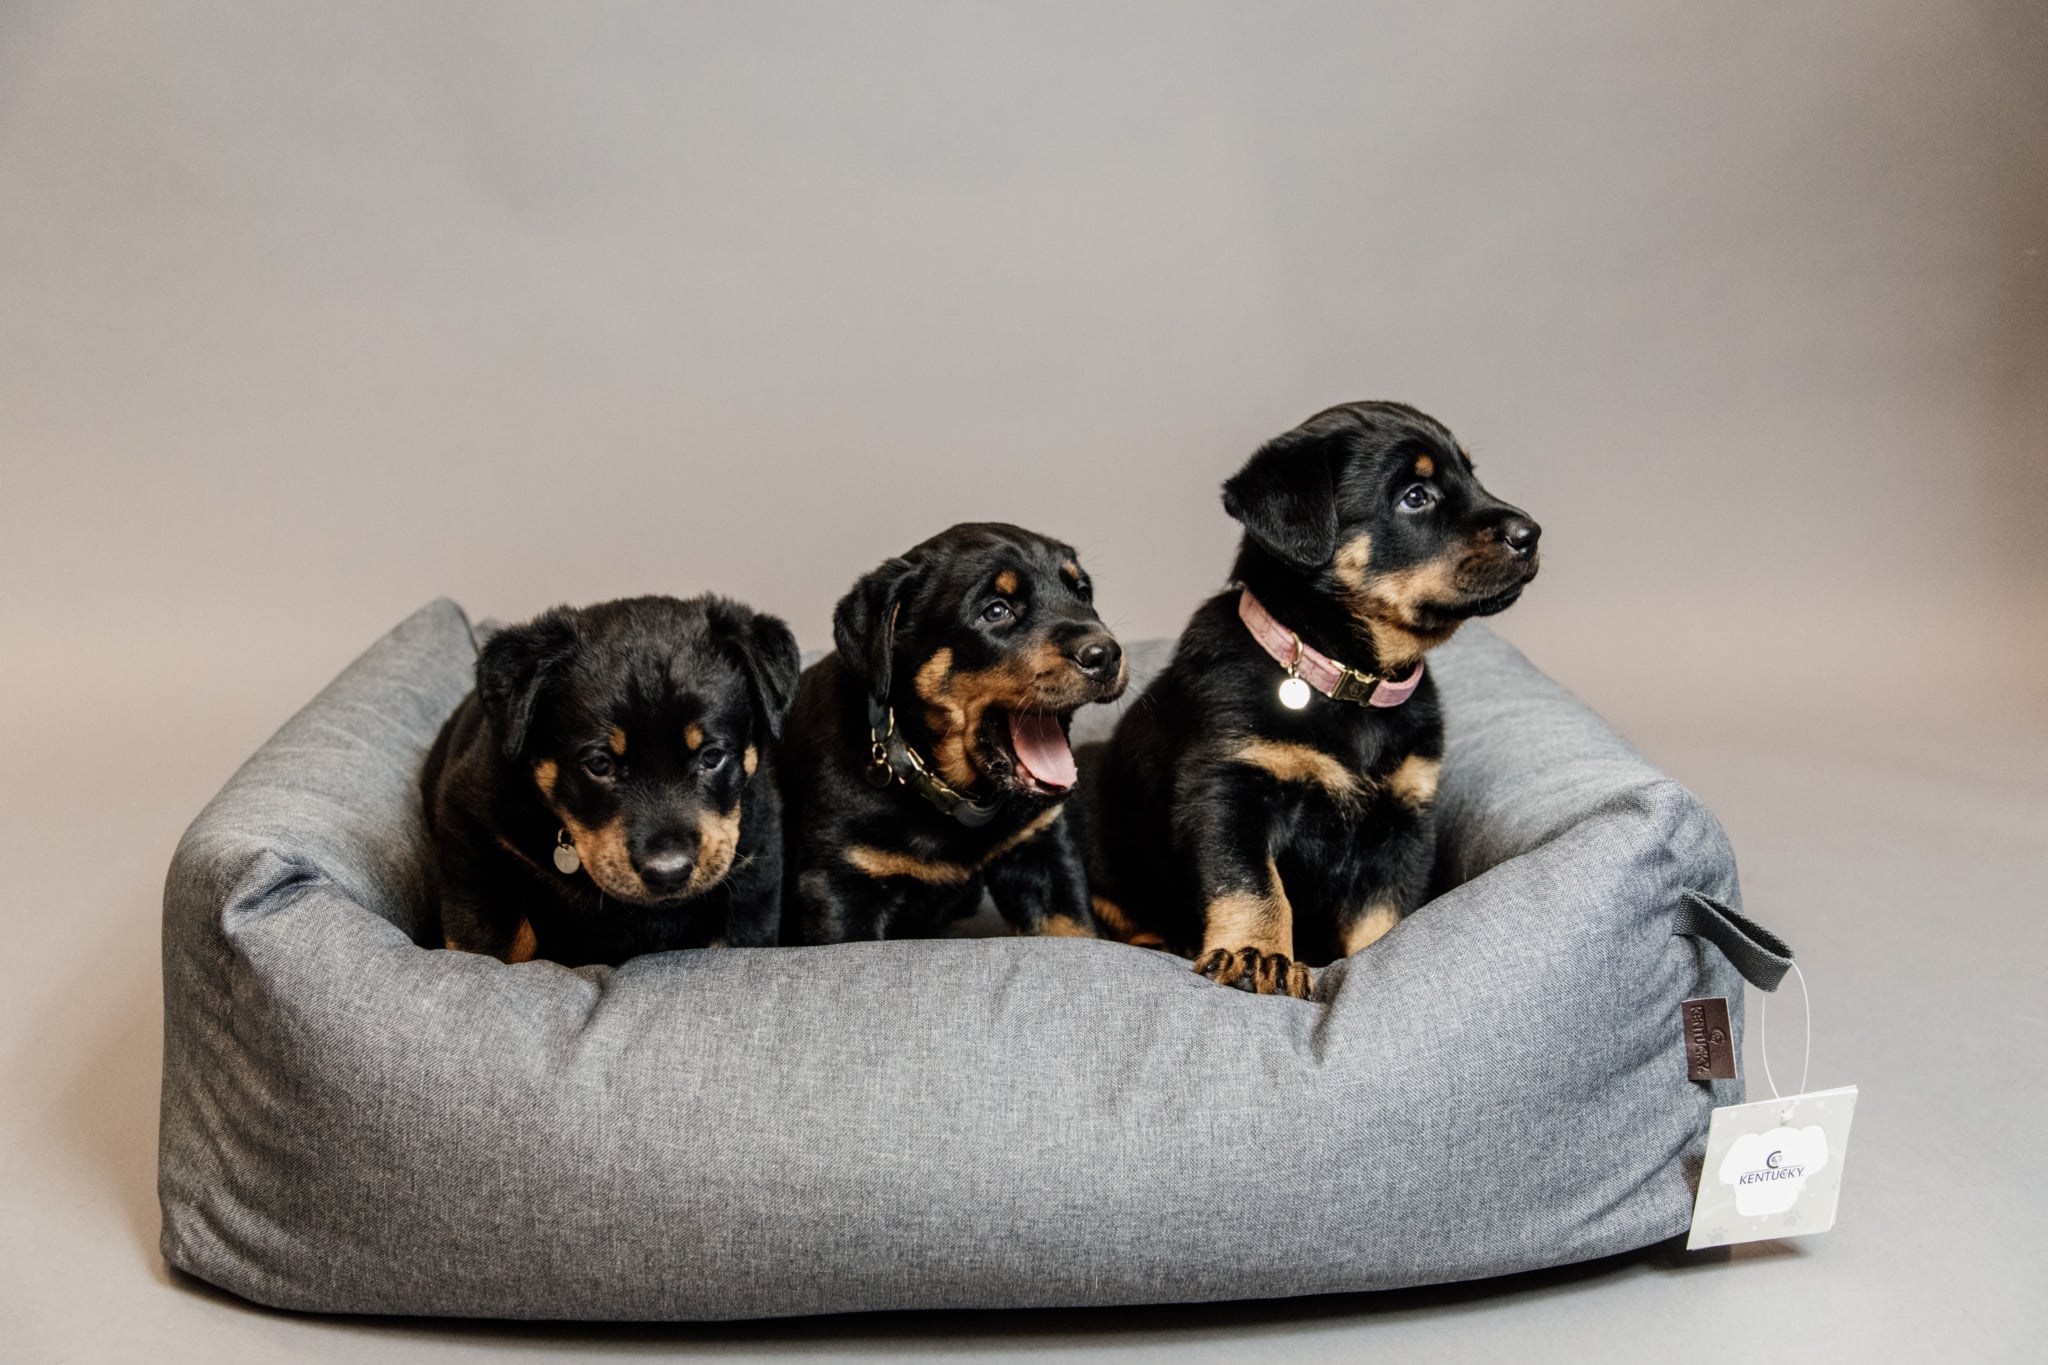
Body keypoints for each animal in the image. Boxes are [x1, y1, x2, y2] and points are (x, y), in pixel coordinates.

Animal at [421, 594, 800, 967]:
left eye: (712, 756)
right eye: (599, 764)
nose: (668, 872)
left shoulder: (752, 869)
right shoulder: (470, 830)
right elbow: (497, 944)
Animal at [780, 522, 1128, 943]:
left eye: (1083, 594)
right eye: (996, 611)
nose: (1105, 655)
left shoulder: (1043, 854)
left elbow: (1074, 930)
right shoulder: (841, 886)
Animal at [1082, 402, 1540, 997]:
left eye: (1472, 476)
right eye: (1415, 496)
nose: (1532, 533)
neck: (1351, 681)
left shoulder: (1402, 825)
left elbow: (1381, 918)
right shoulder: (1228, 790)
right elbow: (1254, 885)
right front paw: (1256, 956)